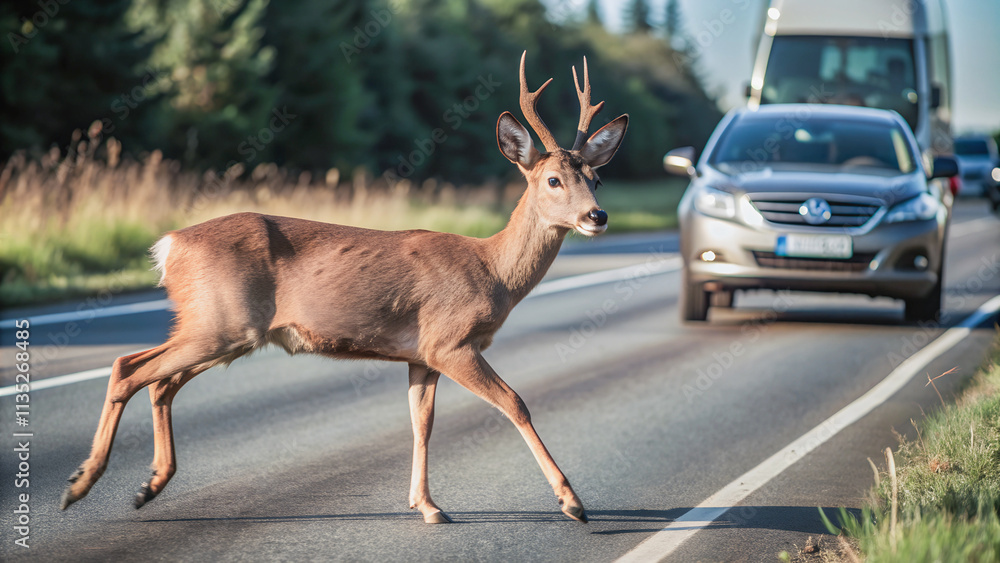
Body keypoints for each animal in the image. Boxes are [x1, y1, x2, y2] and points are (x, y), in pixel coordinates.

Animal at [60, 51, 628, 524]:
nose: (597, 217)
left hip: (222, 329)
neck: (491, 270)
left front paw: (427, 506)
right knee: (128, 367)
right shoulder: (450, 341)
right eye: (553, 180)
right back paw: (80, 484)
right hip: (219, 323)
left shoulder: (420, 354)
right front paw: (572, 502)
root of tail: (170, 245)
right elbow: (515, 403)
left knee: (160, 381)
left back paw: (147, 486)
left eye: (597, 179)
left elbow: (421, 422)